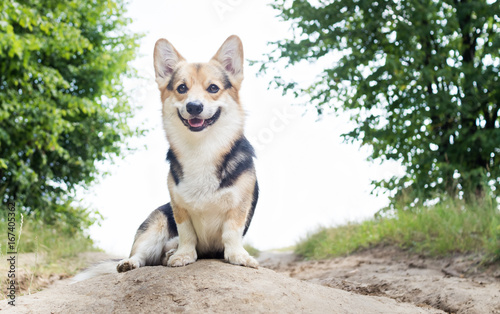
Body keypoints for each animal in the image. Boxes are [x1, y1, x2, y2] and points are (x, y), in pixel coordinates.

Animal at [115, 35, 258, 272]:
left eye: (213, 88)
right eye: (182, 88)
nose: (194, 107)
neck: (201, 147)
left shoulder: (239, 205)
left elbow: (231, 233)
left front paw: (238, 256)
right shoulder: (179, 208)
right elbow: (187, 234)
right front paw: (183, 255)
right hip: (155, 227)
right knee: (142, 254)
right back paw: (132, 262)